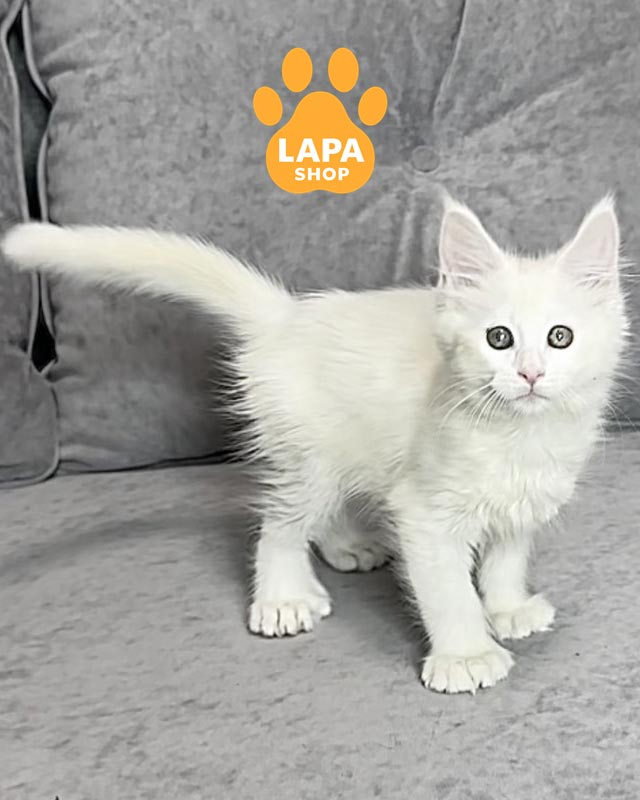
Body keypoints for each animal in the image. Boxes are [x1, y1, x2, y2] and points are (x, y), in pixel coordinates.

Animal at [2, 196, 627, 693]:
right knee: (279, 528)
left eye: (560, 338)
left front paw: (508, 608)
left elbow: (505, 557)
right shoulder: (424, 509)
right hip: (310, 457)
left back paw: (347, 545)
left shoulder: (527, 499)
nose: (530, 374)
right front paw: (466, 654)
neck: (519, 437)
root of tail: (287, 317)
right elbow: (448, 590)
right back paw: (284, 598)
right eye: (499, 338)